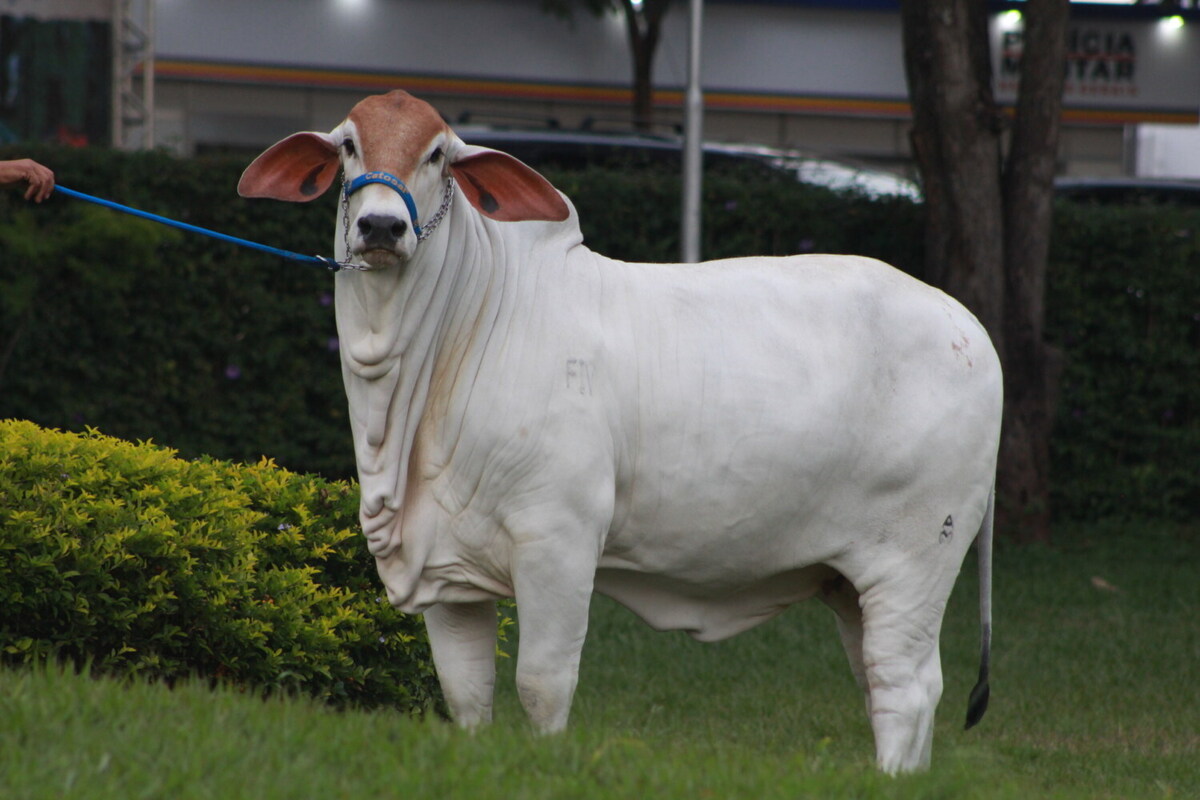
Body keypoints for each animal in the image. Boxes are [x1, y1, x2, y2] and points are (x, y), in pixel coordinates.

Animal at [236, 90, 1003, 772]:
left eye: (437, 154)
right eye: (348, 145)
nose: (381, 228)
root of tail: (971, 330)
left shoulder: (558, 541)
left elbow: (543, 686)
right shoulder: (450, 572)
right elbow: (467, 694)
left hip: (915, 560)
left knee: (908, 686)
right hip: (851, 584)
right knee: (880, 684)